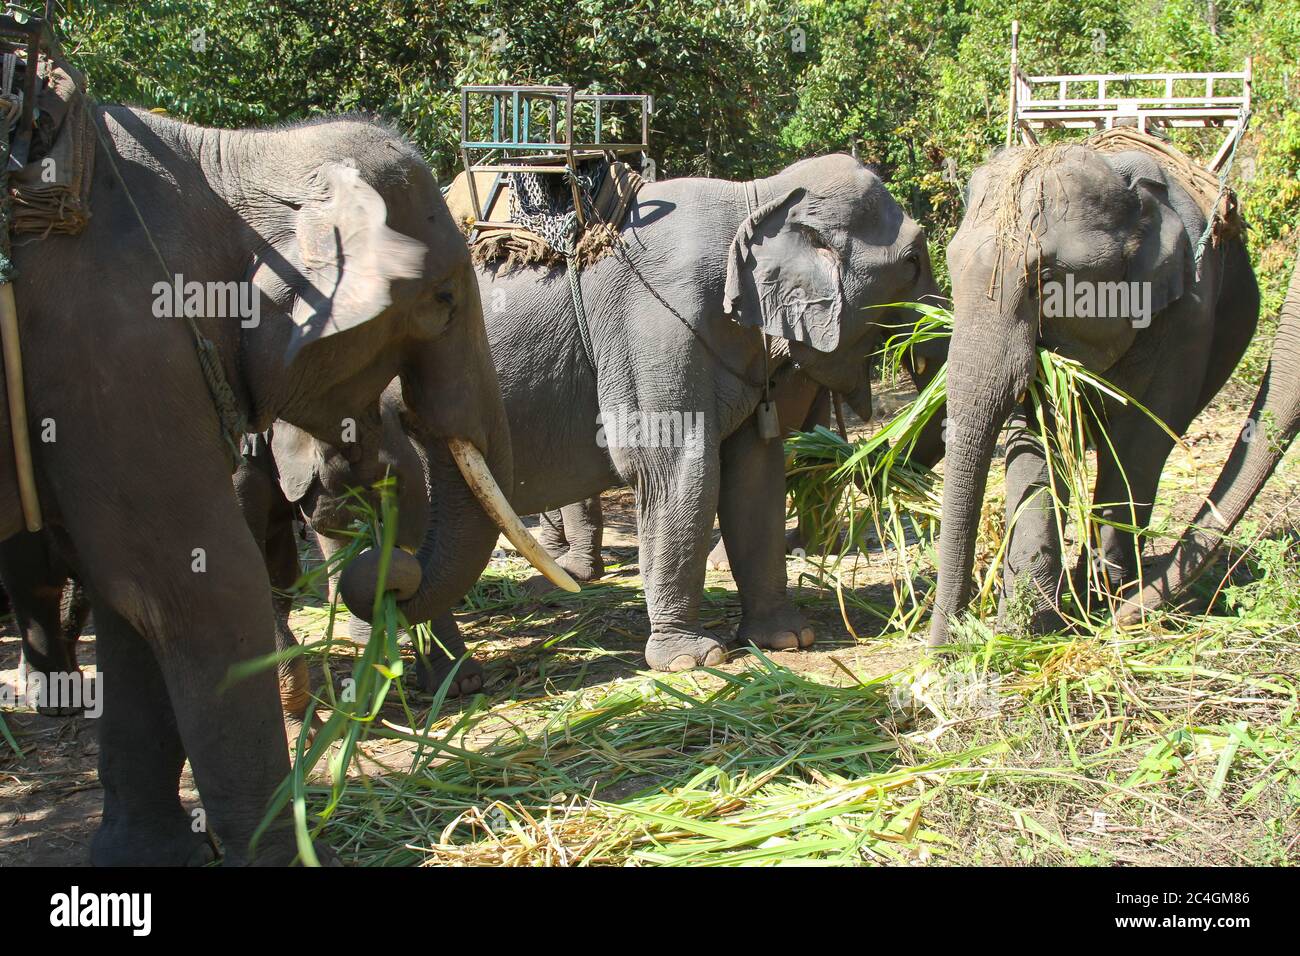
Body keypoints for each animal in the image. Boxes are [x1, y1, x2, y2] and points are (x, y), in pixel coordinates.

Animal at [0, 106, 561, 868]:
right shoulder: (117, 353)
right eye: (441, 298)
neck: (226, 154)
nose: (386, 575)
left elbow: (136, 604)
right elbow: (199, 585)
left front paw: (144, 857)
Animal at [930, 141, 1263, 650]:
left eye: (1046, 278)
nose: (940, 653)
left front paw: (1090, 610)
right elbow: (1038, 438)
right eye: (951, 266)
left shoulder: (1189, 311)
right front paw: (1026, 629)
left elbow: (1142, 439)